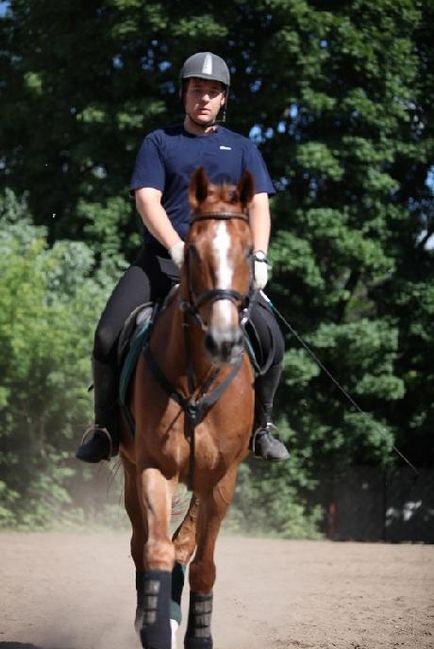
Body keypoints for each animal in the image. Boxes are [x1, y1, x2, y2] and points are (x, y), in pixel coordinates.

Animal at [118, 167, 256, 648]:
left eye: (249, 251)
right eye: (192, 250)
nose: (224, 340)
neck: (197, 378)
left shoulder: (220, 478)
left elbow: (202, 563)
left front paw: (198, 633)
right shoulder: (154, 467)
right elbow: (156, 551)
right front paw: (156, 626)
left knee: (185, 543)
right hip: (130, 467)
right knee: (143, 544)